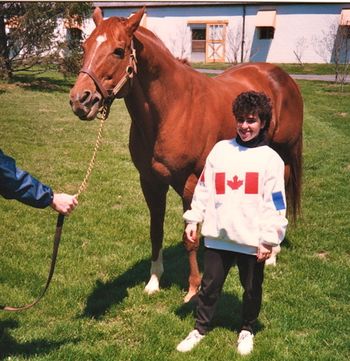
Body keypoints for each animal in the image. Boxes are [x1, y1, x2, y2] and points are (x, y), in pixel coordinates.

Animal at [69, 7, 302, 300]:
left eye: (119, 51)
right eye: (85, 46)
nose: (80, 100)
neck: (172, 108)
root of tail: (279, 75)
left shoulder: (191, 183)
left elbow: (189, 238)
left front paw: (193, 288)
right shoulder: (150, 182)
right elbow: (155, 231)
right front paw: (154, 281)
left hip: (284, 153)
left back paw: (271, 255)